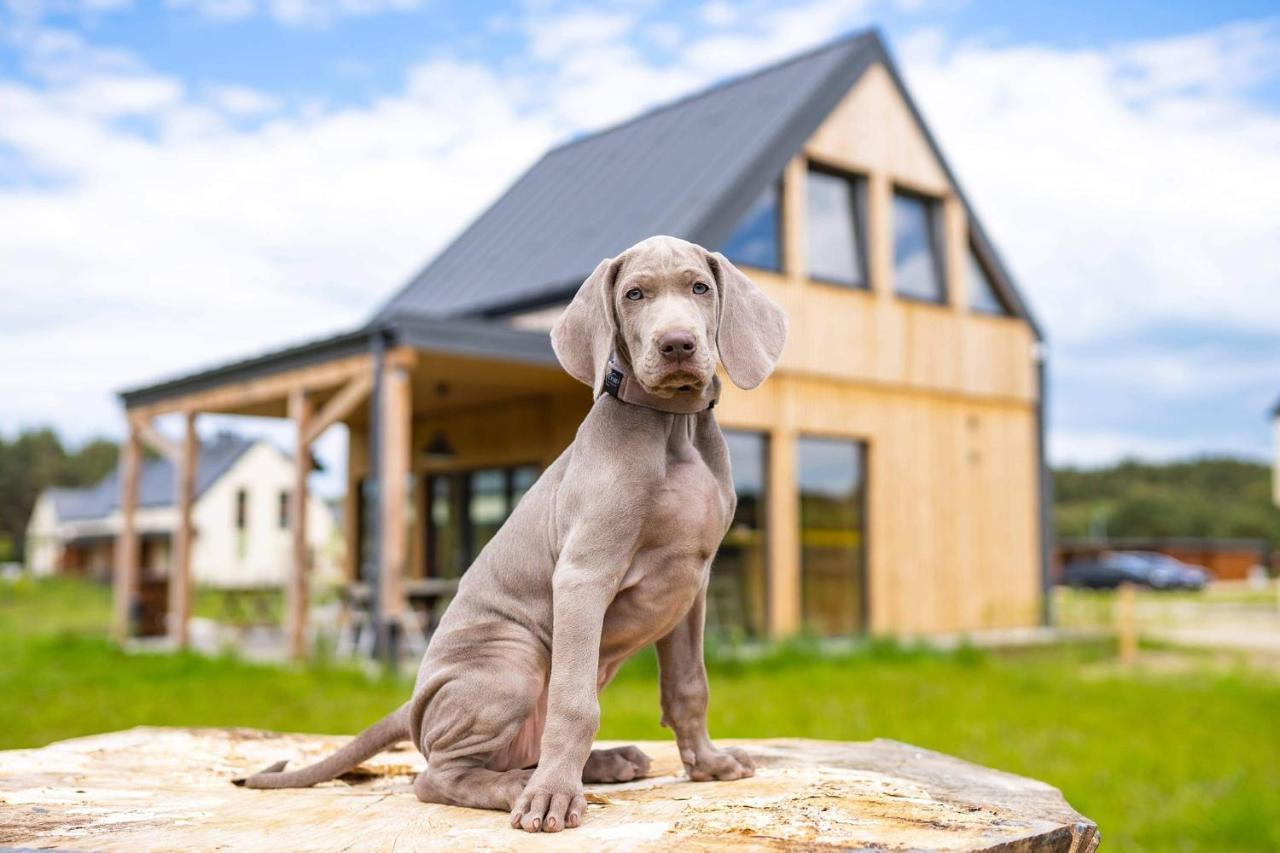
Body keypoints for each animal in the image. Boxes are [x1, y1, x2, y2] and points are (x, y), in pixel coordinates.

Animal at [235, 233, 783, 829]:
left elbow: (689, 686)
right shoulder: (584, 574)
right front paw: (553, 798)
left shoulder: (691, 584)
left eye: (700, 287)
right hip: (510, 661)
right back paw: (527, 787)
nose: (677, 344)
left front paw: (708, 764)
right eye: (634, 294)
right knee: (437, 777)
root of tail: (414, 704)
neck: (674, 427)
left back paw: (604, 763)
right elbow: (573, 703)